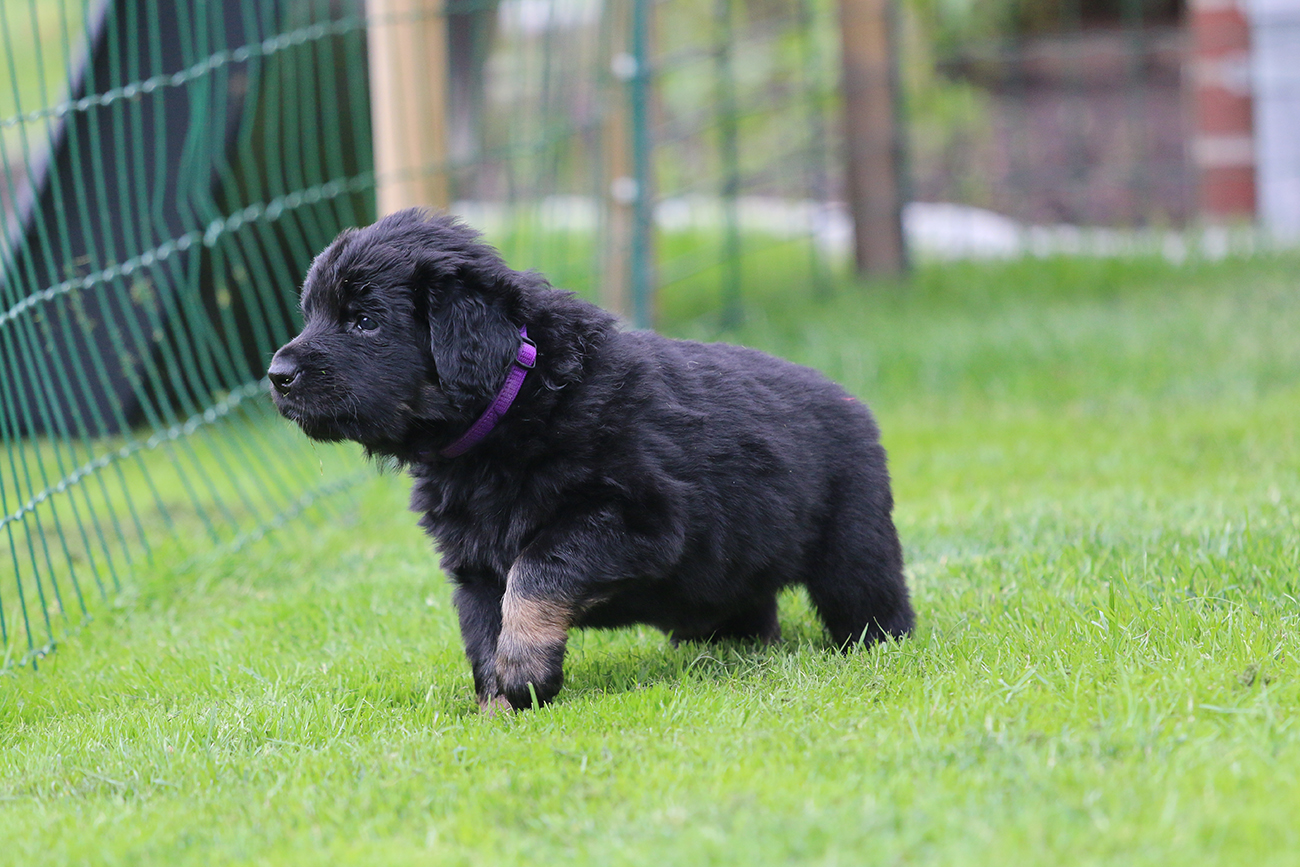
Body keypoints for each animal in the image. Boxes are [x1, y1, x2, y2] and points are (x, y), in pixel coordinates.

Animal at [268, 209, 914, 711]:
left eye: (365, 320)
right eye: (311, 314)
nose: (276, 374)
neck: (518, 399)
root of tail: (853, 400)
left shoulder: (634, 518)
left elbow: (535, 570)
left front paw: (524, 670)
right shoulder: (472, 562)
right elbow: (482, 632)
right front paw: (499, 708)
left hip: (853, 545)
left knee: (871, 599)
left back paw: (883, 647)